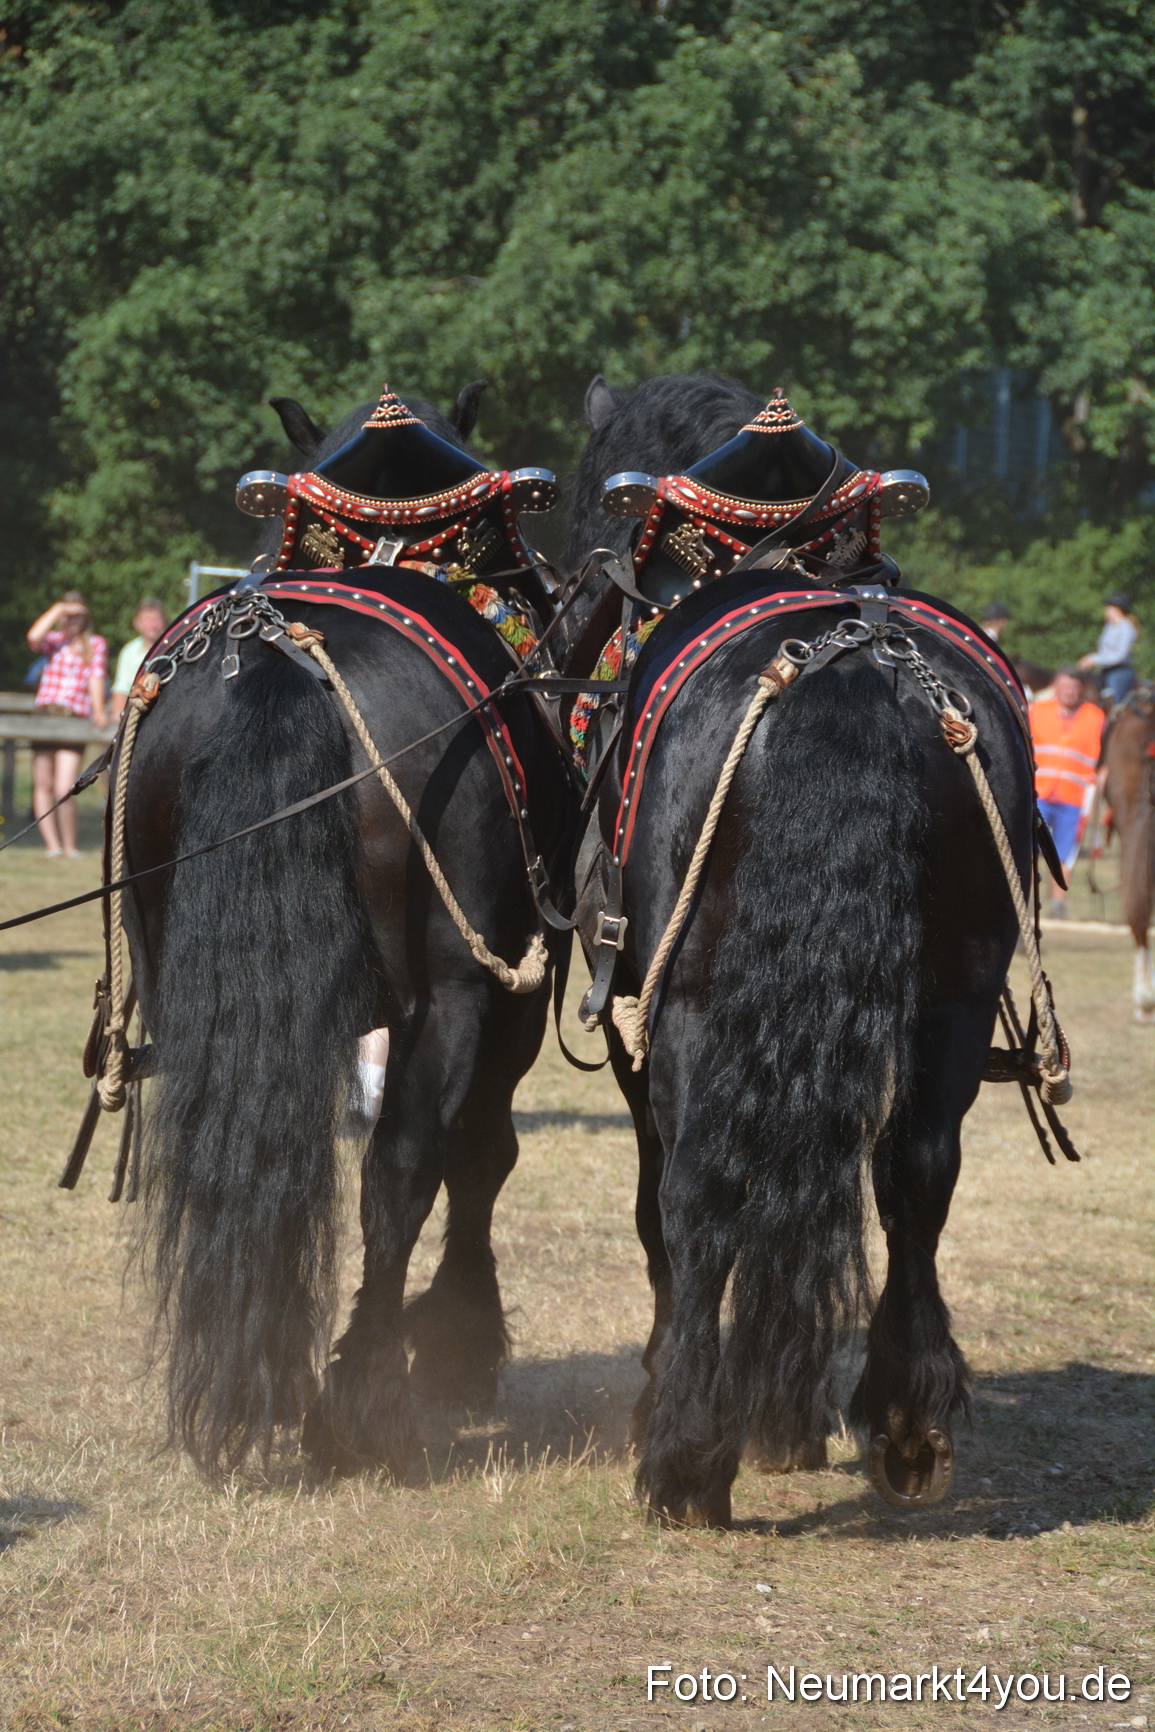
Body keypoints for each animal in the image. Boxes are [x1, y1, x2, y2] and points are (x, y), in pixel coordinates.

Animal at [117, 386, 578, 1479]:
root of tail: (272, 664)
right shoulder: (502, 987)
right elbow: (475, 1152)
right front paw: (459, 1337)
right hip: (456, 990)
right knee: (403, 1164)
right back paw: (361, 1391)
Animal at [564, 373, 1037, 1525]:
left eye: (592, 509)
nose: (571, 619)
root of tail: (853, 670)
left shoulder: (644, 1010)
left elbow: (660, 1197)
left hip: (692, 1001)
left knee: (698, 1185)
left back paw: (686, 1450)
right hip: (953, 998)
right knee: (916, 1173)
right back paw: (903, 1419)